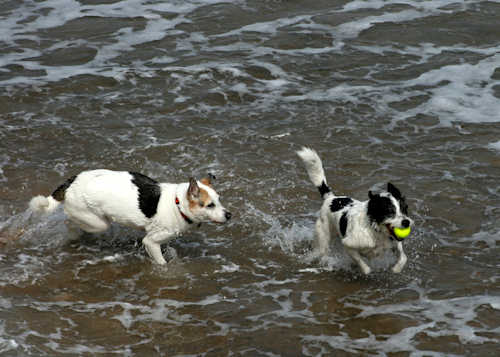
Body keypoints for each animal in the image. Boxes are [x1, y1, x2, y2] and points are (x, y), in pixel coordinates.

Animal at [27, 170, 230, 264]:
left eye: (219, 199)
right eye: (210, 205)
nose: (229, 215)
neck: (178, 203)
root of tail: (71, 182)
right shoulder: (151, 242)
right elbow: (161, 262)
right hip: (97, 222)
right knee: (70, 219)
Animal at [296, 146, 414, 274]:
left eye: (404, 209)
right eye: (389, 211)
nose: (406, 222)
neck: (375, 230)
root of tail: (331, 197)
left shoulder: (395, 243)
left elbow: (403, 257)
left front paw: (396, 269)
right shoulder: (348, 244)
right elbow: (362, 264)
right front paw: (366, 270)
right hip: (323, 237)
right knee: (322, 251)